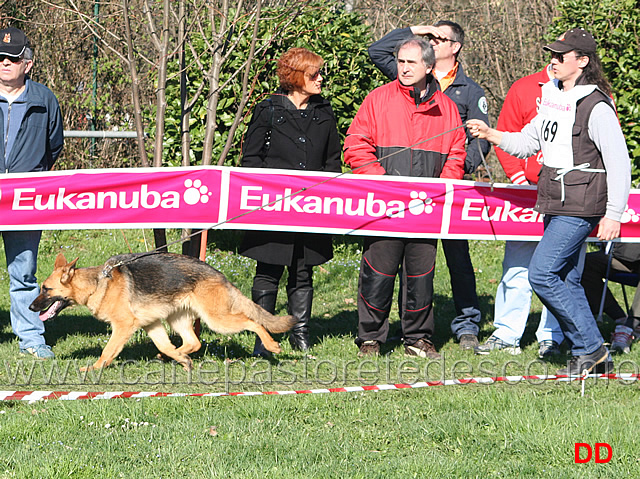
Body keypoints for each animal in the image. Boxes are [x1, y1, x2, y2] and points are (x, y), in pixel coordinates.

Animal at [31, 255, 296, 372]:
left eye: (46, 289)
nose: (31, 308)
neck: (97, 284)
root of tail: (219, 275)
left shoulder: (123, 327)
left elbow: (107, 351)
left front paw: (94, 369)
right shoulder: (152, 325)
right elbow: (164, 345)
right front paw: (177, 357)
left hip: (217, 320)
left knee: (252, 322)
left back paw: (271, 345)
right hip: (176, 319)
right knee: (193, 343)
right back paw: (179, 357)